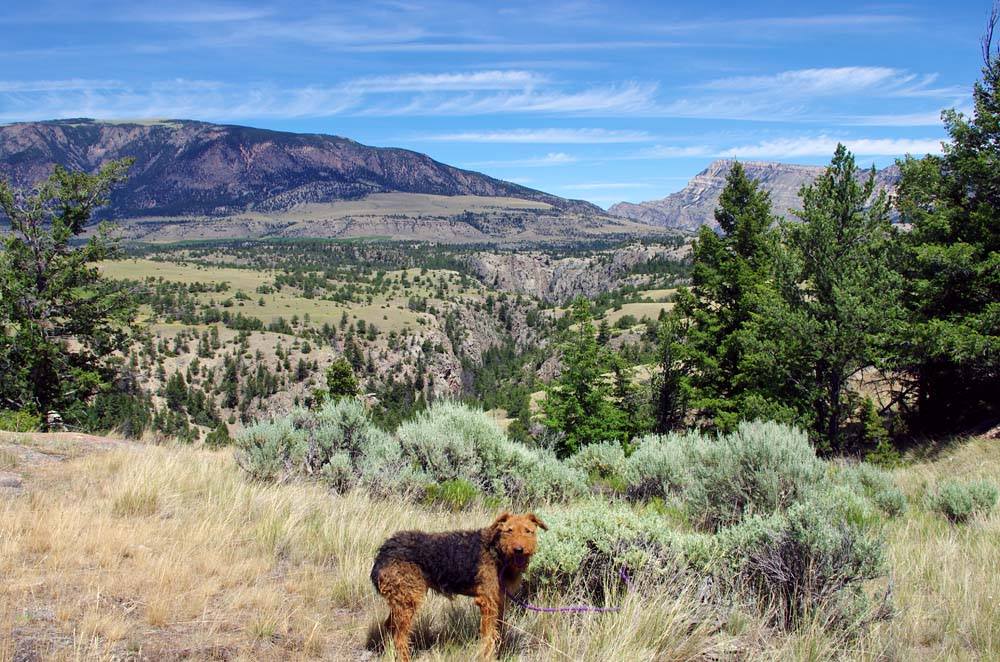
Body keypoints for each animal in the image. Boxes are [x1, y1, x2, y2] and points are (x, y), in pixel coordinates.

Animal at [374, 512, 552, 662]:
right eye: (509, 530)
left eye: (528, 531)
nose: (519, 550)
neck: (496, 552)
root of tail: (383, 553)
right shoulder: (487, 602)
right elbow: (488, 636)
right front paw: (488, 657)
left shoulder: (499, 600)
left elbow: (497, 631)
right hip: (408, 601)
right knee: (400, 638)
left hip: (401, 601)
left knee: (390, 627)